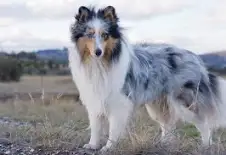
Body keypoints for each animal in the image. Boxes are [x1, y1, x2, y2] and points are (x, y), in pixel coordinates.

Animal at [68, 5, 226, 153]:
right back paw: (164, 144)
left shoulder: (119, 102)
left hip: (186, 100)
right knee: (167, 125)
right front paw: (92, 145)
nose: (98, 52)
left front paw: (108, 147)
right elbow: (95, 125)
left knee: (203, 123)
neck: (101, 63)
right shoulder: (95, 98)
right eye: (89, 34)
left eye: (105, 35)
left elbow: (113, 128)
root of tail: (196, 58)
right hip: (159, 103)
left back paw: (206, 145)